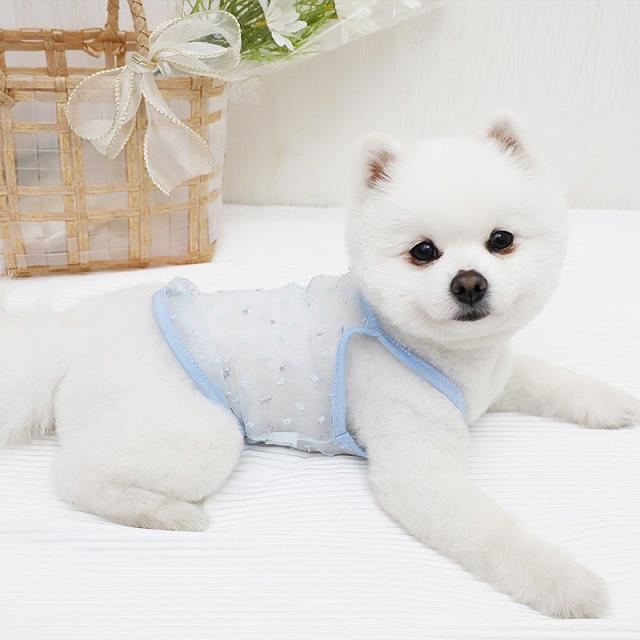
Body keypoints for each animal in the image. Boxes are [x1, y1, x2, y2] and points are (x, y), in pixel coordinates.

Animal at [1, 111, 639, 618]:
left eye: (501, 240)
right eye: (423, 252)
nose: (469, 283)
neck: (453, 357)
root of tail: (70, 340)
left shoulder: (498, 377)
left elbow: (552, 380)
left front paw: (613, 402)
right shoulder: (419, 475)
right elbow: (495, 536)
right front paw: (567, 584)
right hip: (204, 430)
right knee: (75, 475)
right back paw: (162, 514)